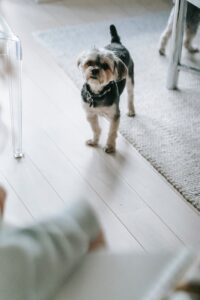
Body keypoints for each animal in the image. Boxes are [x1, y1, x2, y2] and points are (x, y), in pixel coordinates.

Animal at [77, 24, 135, 154]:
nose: (94, 70)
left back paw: (131, 110)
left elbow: (112, 132)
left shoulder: (114, 115)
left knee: (130, 94)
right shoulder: (90, 113)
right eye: (89, 63)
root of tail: (116, 42)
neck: (97, 93)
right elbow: (96, 128)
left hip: (130, 77)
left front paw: (110, 146)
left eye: (105, 66)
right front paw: (94, 141)